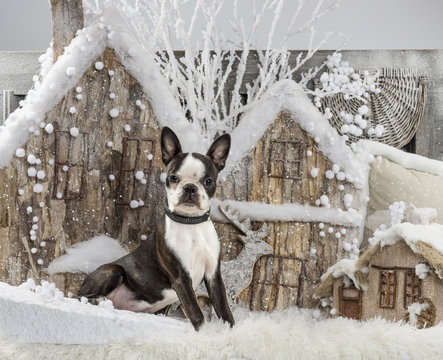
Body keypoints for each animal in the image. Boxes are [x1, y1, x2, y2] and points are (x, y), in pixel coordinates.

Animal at [78, 126, 236, 330]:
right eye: (173, 178)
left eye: (208, 181)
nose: (190, 188)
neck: (191, 224)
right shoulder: (181, 277)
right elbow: (196, 312)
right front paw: (205, 332)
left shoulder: (213, 276)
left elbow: (224, 309)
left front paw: (232, 331)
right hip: (113, 270)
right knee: (80, 296)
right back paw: (99, 300)